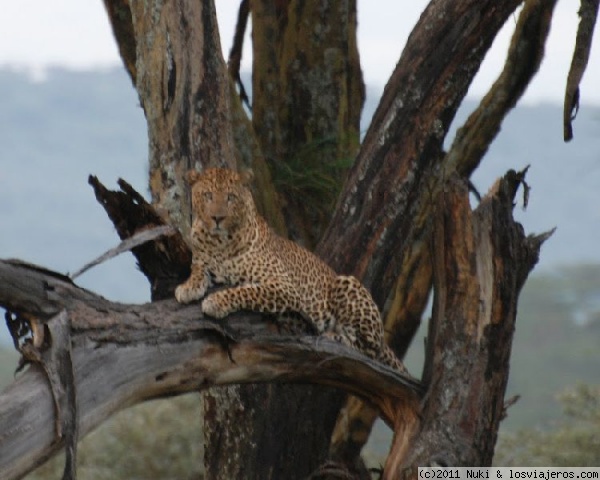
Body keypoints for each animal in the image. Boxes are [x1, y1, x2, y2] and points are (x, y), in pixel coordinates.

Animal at [176, 165, 406, 372]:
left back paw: (335, 336)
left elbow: (245, 291)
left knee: (369, 349)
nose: (217, 218)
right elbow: (198, 269)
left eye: (230, 197)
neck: (219, 242)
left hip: (347, 283)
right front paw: (187, 288)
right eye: (207, 195)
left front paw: (216, 302)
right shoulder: (201, 259)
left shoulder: (284, 286)